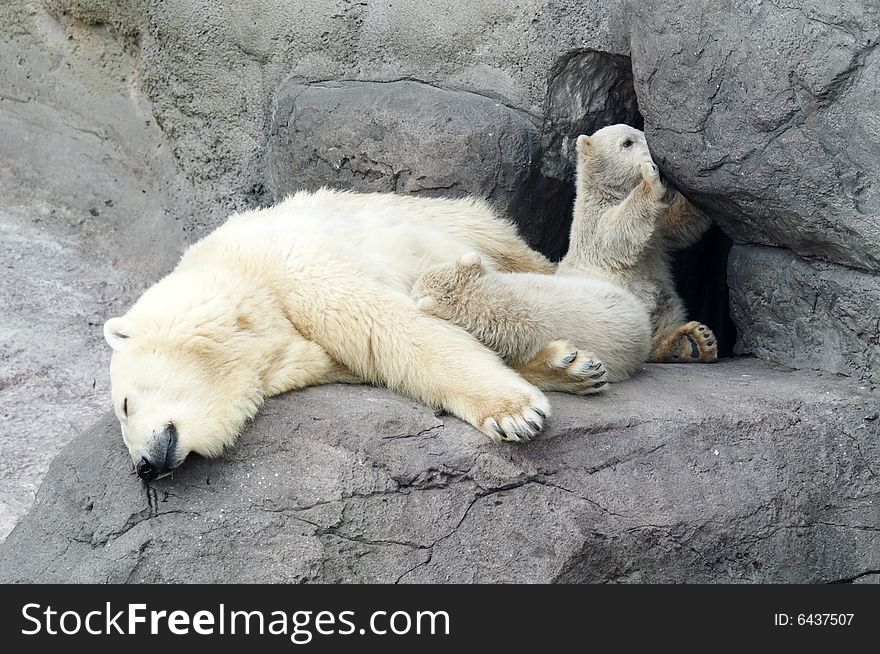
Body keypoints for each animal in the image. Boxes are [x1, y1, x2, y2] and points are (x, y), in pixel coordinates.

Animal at [105, 190, 648, 482]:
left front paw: (512, 413)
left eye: (125, 405)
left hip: (459, 223)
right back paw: (572, 367)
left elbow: (388, 326)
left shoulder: (298, 265)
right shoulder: (306, 351)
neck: (243, 280)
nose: (144, 468)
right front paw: (559, 371)